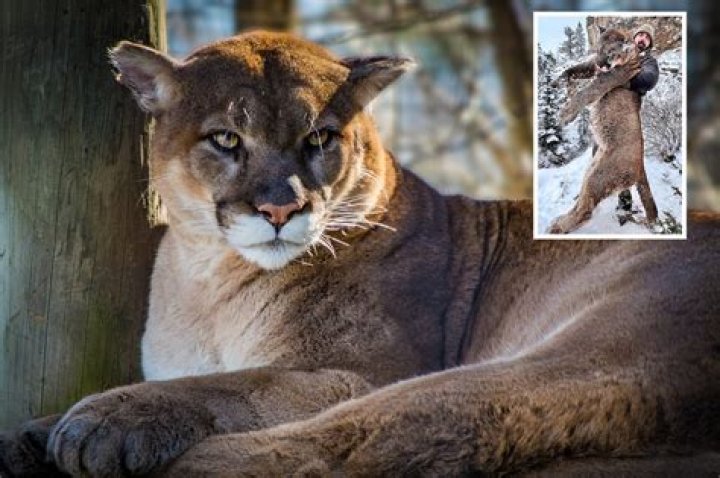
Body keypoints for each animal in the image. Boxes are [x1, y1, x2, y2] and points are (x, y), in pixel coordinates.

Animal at [1, 31, 719, 477]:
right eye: (226, 138)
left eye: (320, 138)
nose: (281, 210)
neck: (206, 281)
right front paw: (32, 433)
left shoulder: (359, 370)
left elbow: (238, 384)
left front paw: (104, 418)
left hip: (584, 344)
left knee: (328, 449)